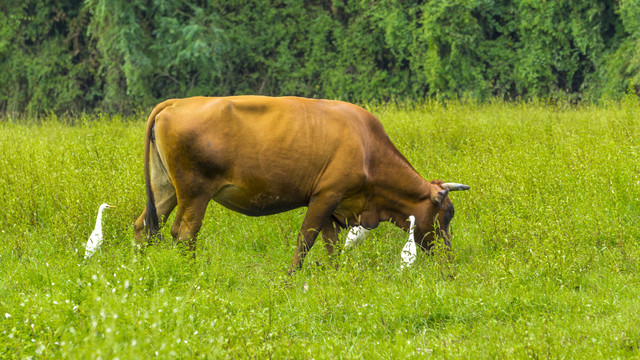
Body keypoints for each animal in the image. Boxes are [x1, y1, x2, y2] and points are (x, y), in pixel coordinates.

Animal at [132, 95, 468, 272]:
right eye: (445, 215)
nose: (450, 259)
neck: (367, 147)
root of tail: (175, 103)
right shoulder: (325, 197)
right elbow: (306, 240)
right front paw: (292, 277)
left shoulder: (336, 207)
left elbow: (331, 245)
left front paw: (336, 275)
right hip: (194, 194)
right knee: (184, 234)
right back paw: (191, 273)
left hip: (165, 189)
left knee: (144, 226)